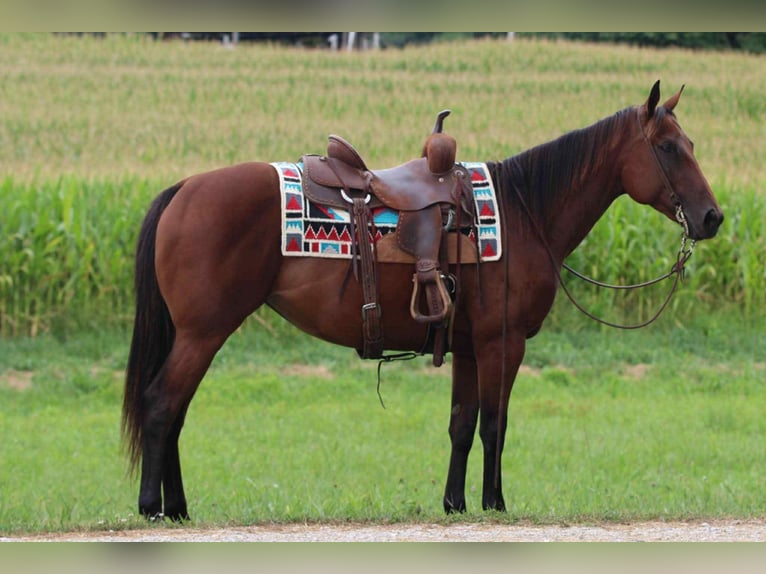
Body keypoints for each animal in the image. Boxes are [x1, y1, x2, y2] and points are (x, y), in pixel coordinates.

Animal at [122, 81, 723, 521]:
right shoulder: (503, 342)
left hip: (196, 335)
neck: (524, 210)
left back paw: (178, 507)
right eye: (668, 148)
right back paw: (154, 507)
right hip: (203, 333)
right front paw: (495, 503)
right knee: (162, 405)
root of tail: (185, 188)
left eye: (692, 145)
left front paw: (455, 504)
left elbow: (461, 423)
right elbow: (495, 424)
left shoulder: (470, 346)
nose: (713, 217)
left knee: (175, 412)